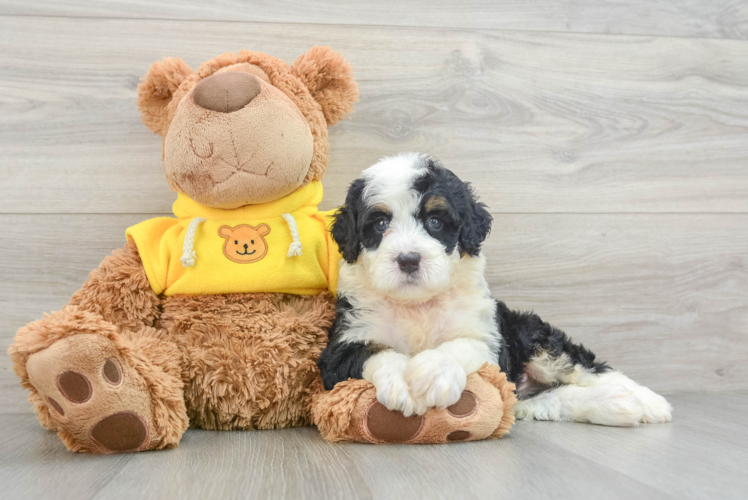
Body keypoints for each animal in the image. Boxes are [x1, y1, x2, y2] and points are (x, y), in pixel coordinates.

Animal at [316, 153, 672, 426]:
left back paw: (647, 401)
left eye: (435, 221)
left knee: (587, 367)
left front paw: (433, 373)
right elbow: (377, 352)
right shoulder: (342, 347)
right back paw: (615, 404)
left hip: (533, 335)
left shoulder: (488, 339)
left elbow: (460, 346)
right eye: (379, 224)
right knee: (549, 398)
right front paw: (402, 383)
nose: (408, 259)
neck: (417, 305)